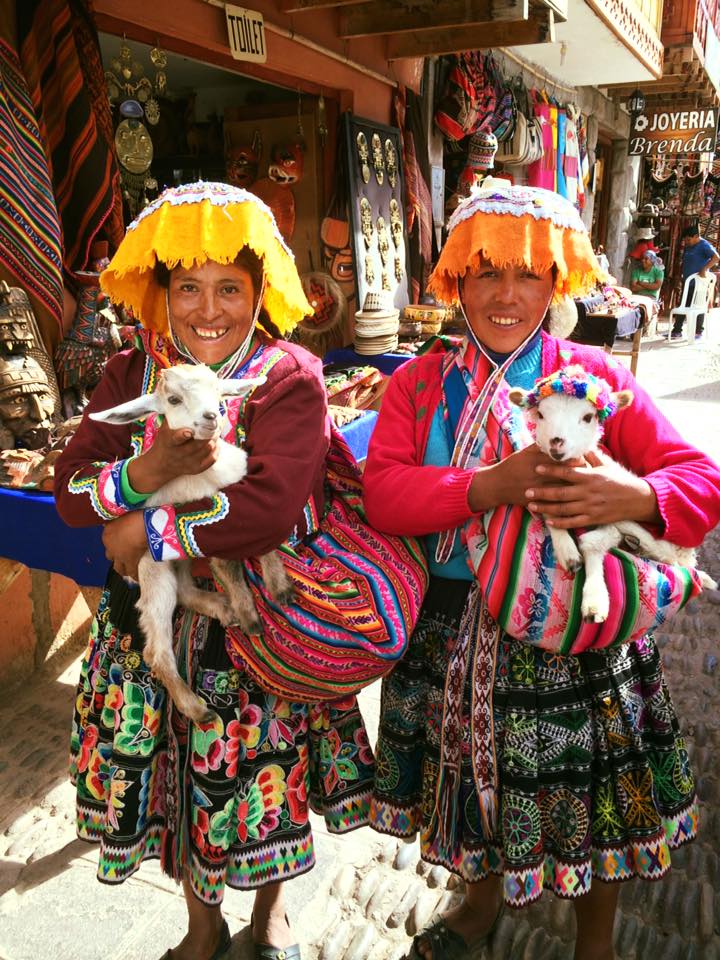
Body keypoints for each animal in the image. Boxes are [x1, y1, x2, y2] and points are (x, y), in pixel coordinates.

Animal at [91, 364, 294, 724]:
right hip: (154, 571)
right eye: (173, 399)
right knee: (156, 648)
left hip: (177, 559)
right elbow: (228, 565)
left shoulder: (246, 500)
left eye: (217, 390)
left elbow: (268, 537)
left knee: (185, 590)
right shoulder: (214, 521)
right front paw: (251, 619)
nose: (210, 416)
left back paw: (222, 607)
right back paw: (197, 709)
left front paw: (279, 587)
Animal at [506, 368, 716, 624]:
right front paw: (568, 552)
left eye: (588, 417)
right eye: (541, 414)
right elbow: (551, 516)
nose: (557, 443)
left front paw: (595, 599)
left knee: (670, 556)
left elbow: (593, 542)